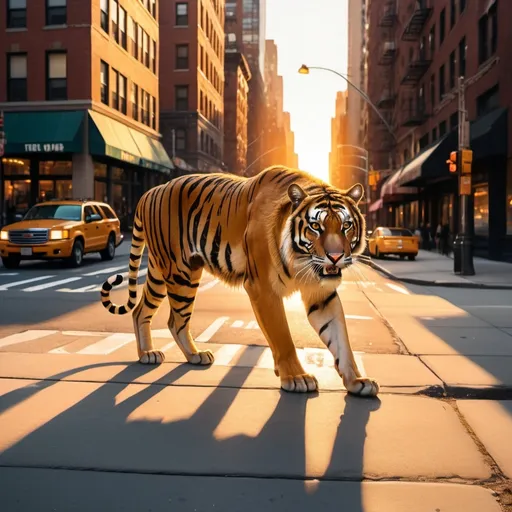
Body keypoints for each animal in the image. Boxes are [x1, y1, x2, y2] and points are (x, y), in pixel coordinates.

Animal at [101, 164, 380, 396]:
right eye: (315, 227)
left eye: (346, 226)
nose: (335, 256)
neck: (303, 262)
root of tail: (150, 191)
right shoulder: (263, 289)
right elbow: (283, 336)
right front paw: (296, 378)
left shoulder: (320, 293)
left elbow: (340, 338)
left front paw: (357, 381)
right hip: (179, 273)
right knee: (174, 319)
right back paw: (166, 353)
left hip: (163, 273)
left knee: (143, 311)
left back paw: (171, 354)